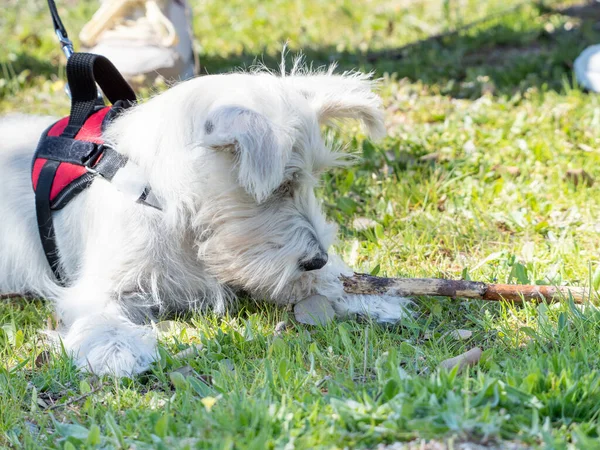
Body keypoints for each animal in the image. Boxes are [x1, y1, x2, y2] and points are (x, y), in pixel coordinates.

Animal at [0, 63, 410, 376]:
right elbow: (100, 312)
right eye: (281, 185)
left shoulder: (259, 261)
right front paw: (117, 349)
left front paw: (365, 295)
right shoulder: (100, 285)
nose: (318, 258)